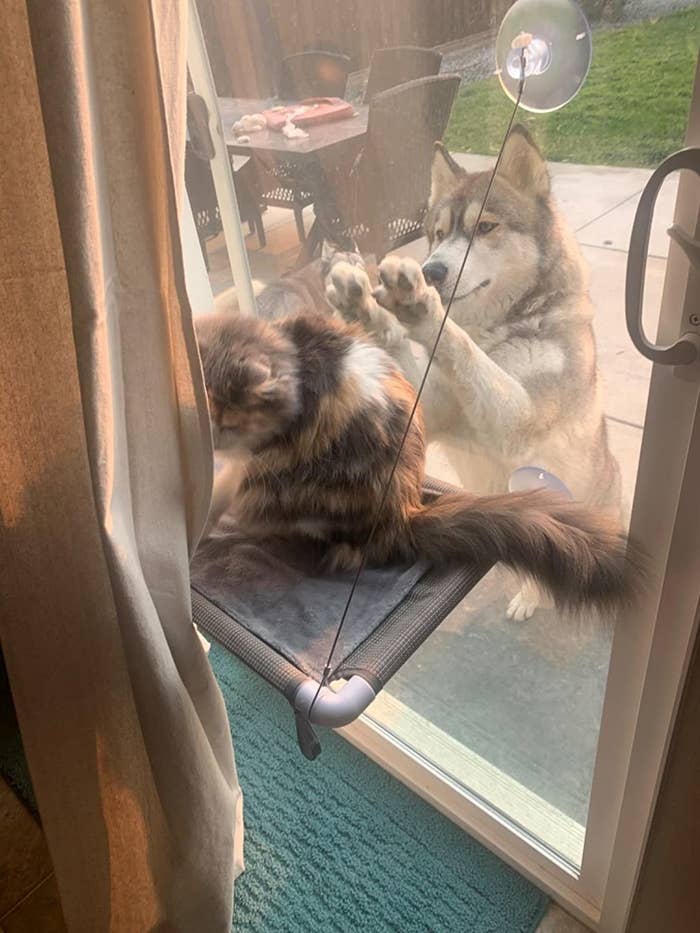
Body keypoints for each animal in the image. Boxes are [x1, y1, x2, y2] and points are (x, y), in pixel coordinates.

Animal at [326, 125, 620, 620]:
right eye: (439, 234)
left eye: (486, 227)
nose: (432, 270)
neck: (496, 330)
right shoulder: (437, 407)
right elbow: (405, 349)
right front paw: (364, 306)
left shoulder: (518, 422)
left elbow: (462, 349)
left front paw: (420, 306)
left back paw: (531, 594)